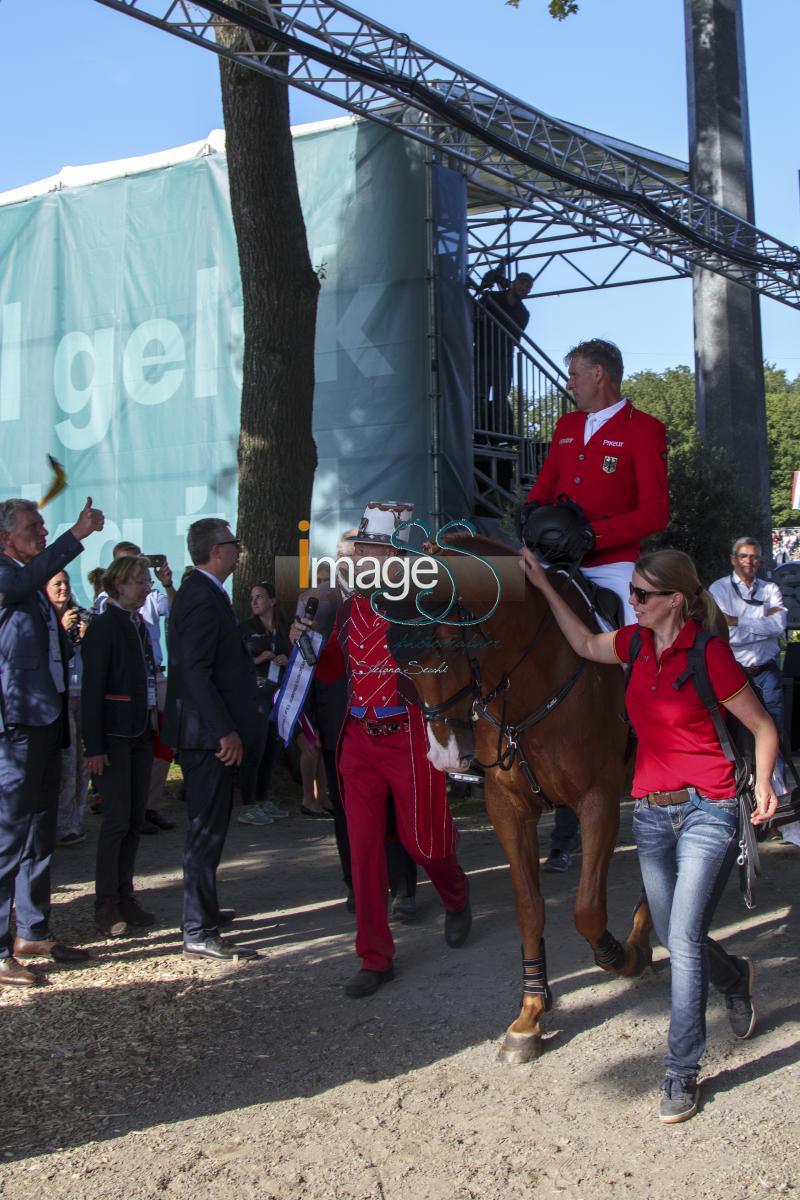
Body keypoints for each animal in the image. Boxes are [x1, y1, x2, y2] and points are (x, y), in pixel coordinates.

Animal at [388, 535, 657, 1060]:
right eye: (400, 660)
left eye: (447, 642)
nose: (444, 756)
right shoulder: (508, 808)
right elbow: (529, 908)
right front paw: (530, 1012)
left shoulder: (598, 798)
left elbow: (586, 910)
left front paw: (622, 955)